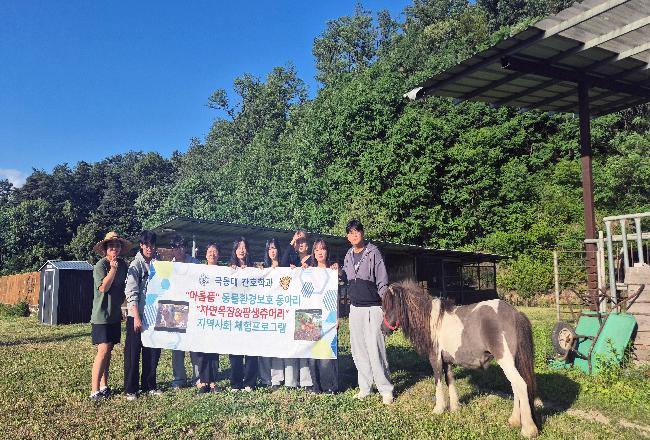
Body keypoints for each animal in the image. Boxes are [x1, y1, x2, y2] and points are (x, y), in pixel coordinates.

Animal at [381, 281, 539, 438]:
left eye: (390, 306)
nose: (383, 329)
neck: (432, 321)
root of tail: (515, 314)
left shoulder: (435, 359)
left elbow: (438, 382)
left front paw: (438, 409)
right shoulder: (447, 361)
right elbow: (449, 380)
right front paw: (455, 408)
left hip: (505, 361)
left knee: (520, 385)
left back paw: (528, 429)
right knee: (515, 386)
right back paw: (514, 420)